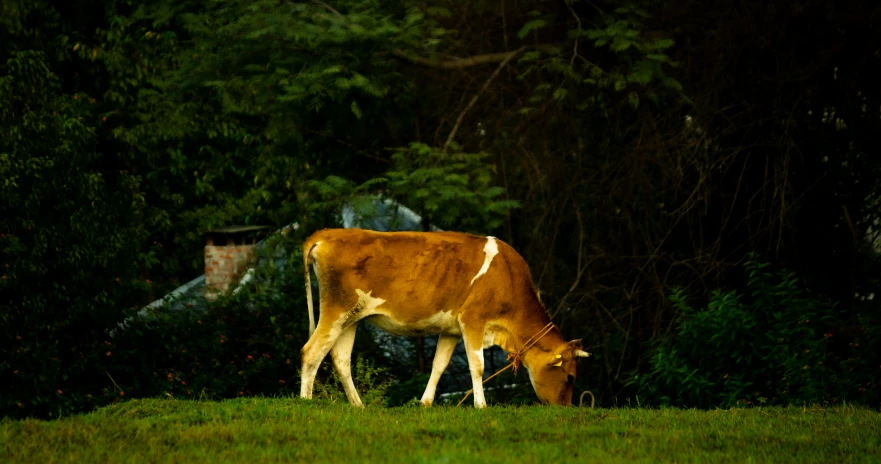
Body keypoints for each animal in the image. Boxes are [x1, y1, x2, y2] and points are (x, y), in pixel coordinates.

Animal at [298, 227, 592, 406]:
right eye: (570, 377)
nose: (564, 408)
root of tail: (327, 233)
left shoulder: (451, 330)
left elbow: (439, 365)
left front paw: (425, 403)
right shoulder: (473, 319)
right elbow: (478, 365)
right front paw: (481, 405)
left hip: (352, 317)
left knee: (340, 359)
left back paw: (358, 405)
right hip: (337, 309)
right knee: (310, 351)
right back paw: (305, 401)